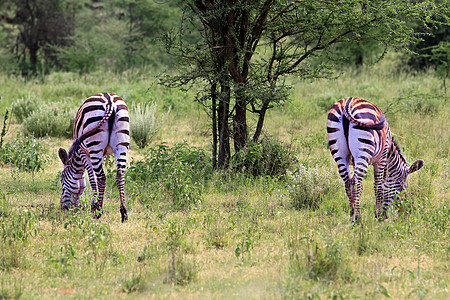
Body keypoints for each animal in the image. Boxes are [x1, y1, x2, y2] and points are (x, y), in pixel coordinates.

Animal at [57, 92, 129, 221]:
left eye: (62, 179)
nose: (63, 208)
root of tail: (110, 101)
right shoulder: (103, 154)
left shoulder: (83, 152)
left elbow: (92, 179)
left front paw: (94, 206)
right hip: (121, 144)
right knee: (120, 175)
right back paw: (124, 212)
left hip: (94, 145)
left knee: (101, 177)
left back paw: (98, 212)